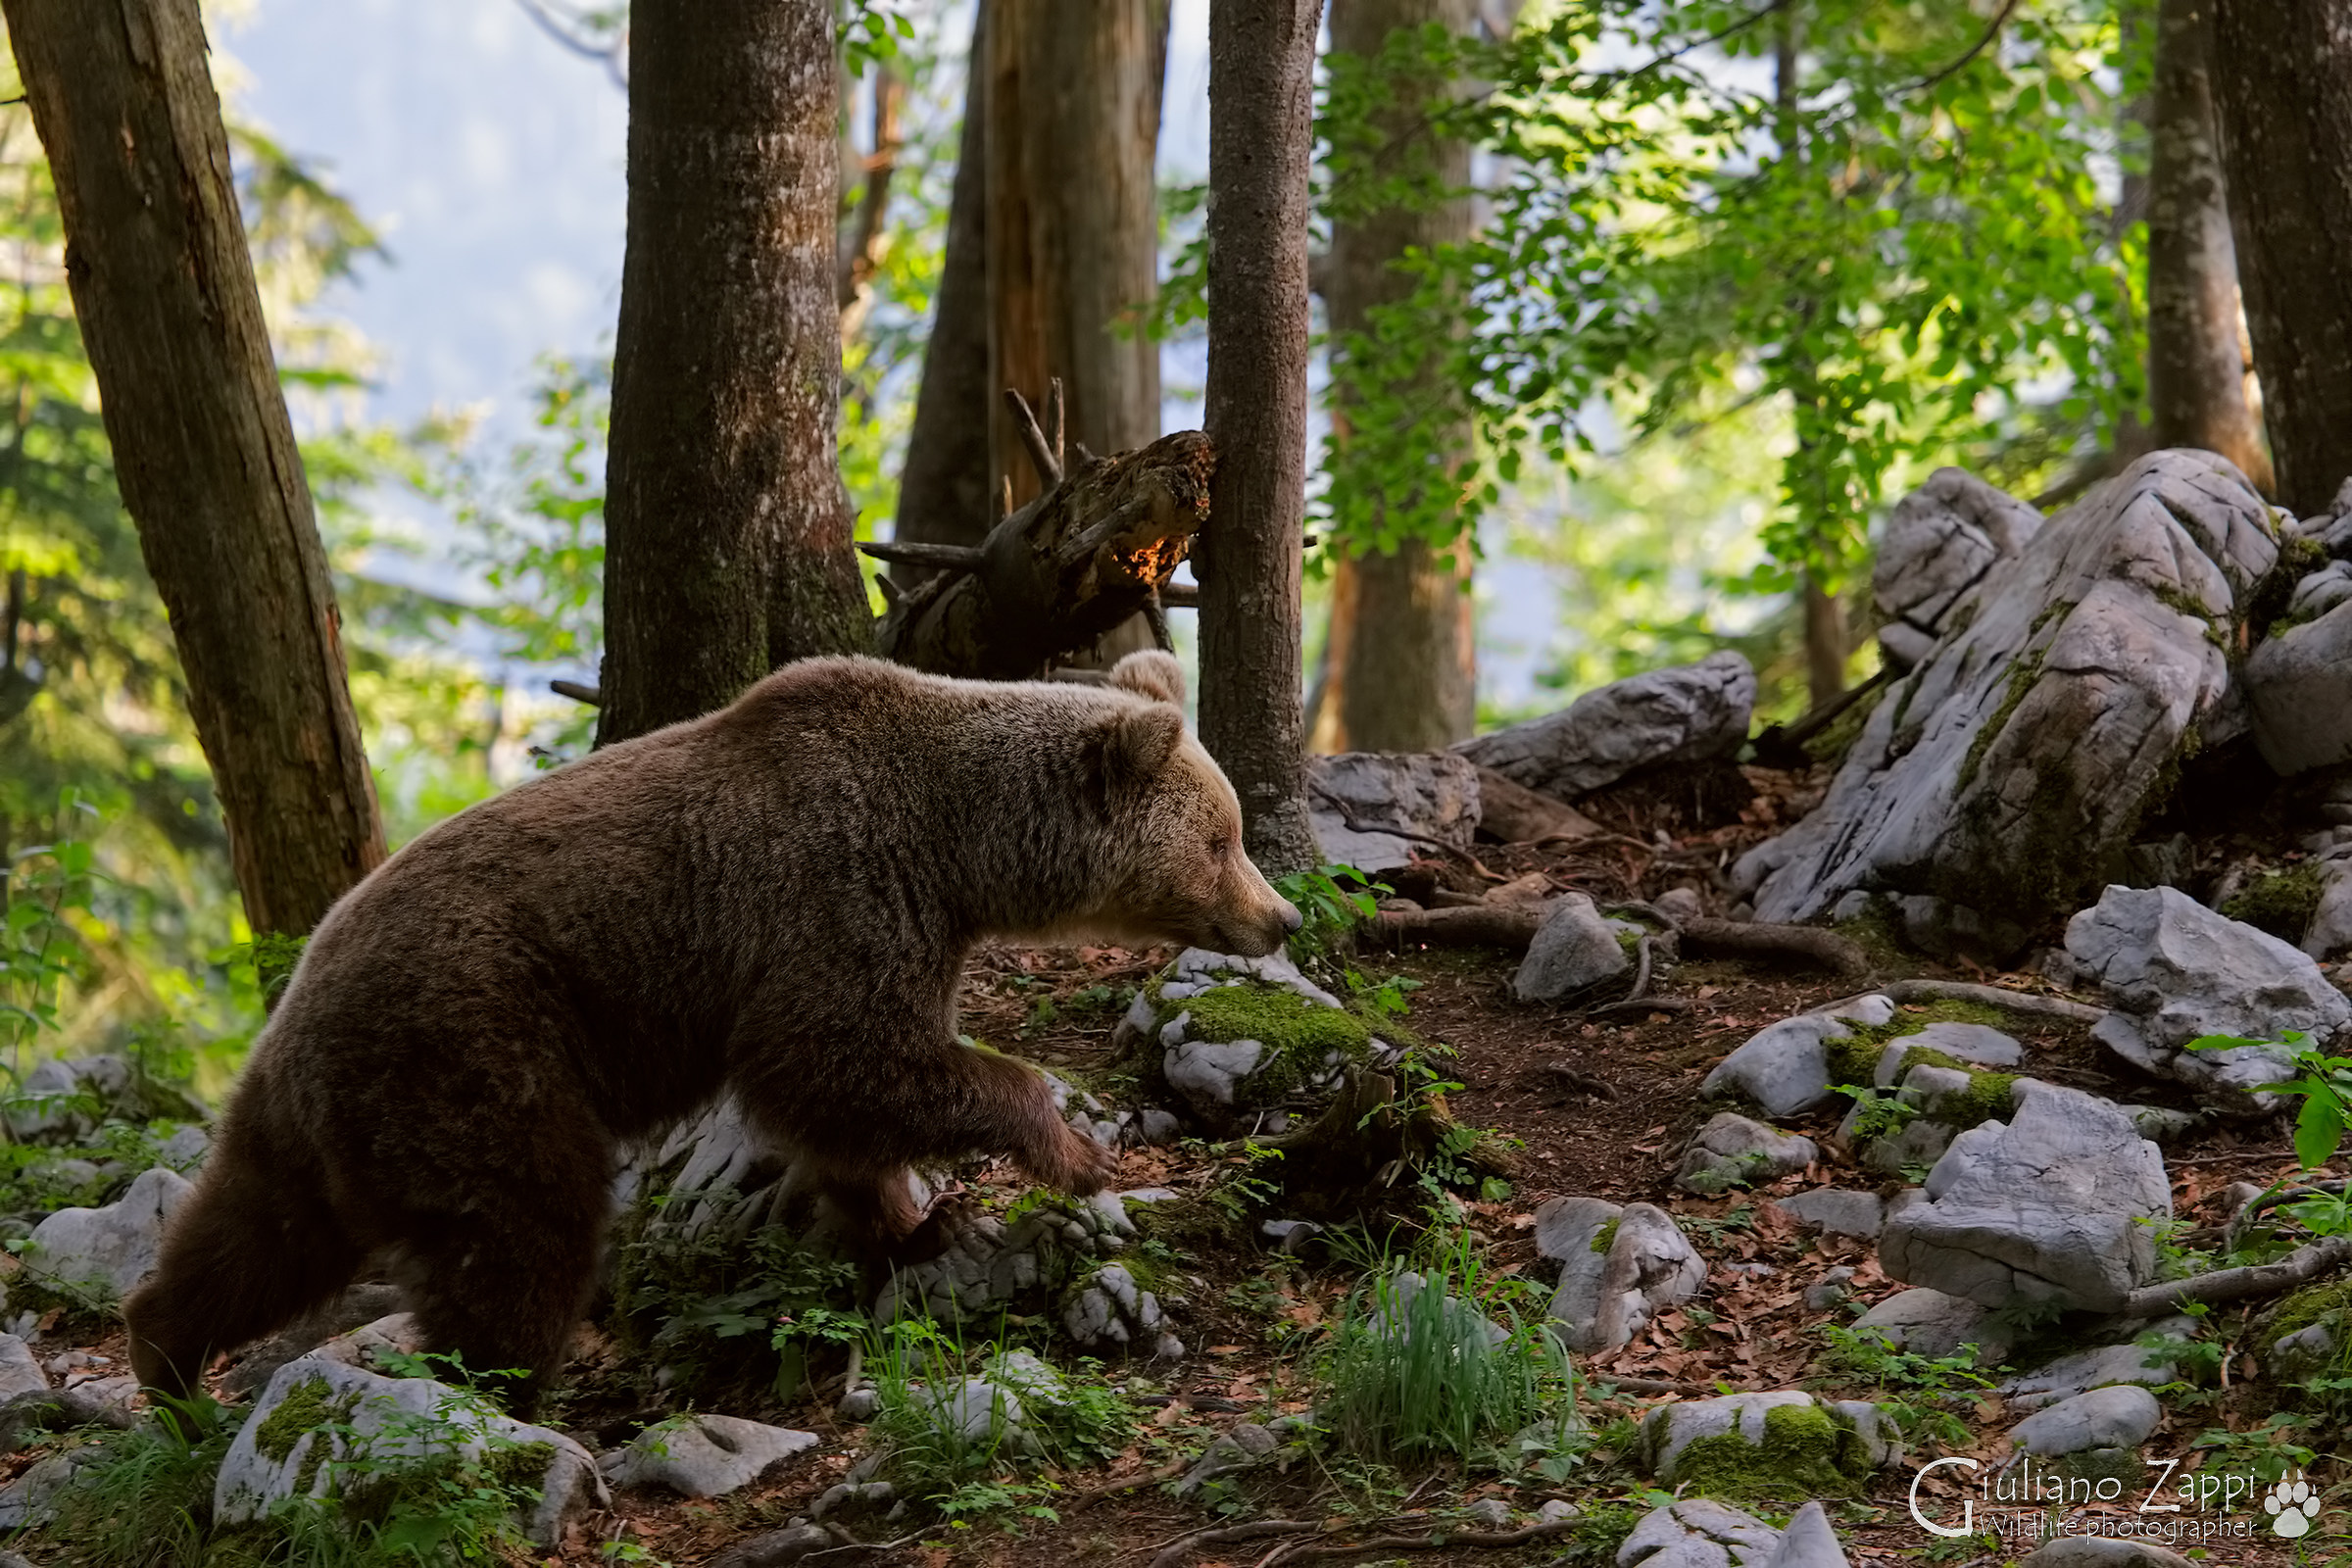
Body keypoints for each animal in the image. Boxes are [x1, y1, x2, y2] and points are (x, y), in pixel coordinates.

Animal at [125, 650, 1297, 1412]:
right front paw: (1073, 1151)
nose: (1280, 916)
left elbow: (843, 1103)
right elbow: (841, 1060)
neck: (959, 852)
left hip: (317, 1112)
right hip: (478, 1047)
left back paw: (166, 1359)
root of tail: (299, 1000)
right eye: (1223, 838)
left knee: (256, 1234)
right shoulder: (838, 895)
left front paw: (912, 1220)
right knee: (523, 1231)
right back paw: (509, 1404)